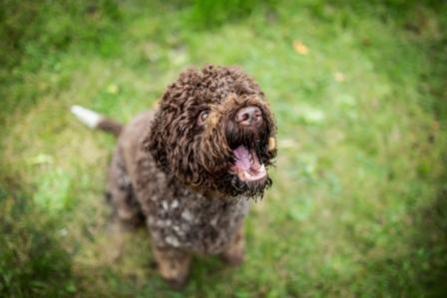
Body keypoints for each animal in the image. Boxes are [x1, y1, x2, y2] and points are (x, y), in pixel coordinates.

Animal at [71, 64, 276, 288]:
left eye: (243, 92)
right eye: (203, 114)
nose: (251, 114)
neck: (211, 201)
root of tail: (125, 128)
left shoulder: (235, 227)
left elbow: (234, 244)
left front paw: (235, 258)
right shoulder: (167, 241)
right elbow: (174, 265)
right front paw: (176, 282)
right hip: (124, 190)